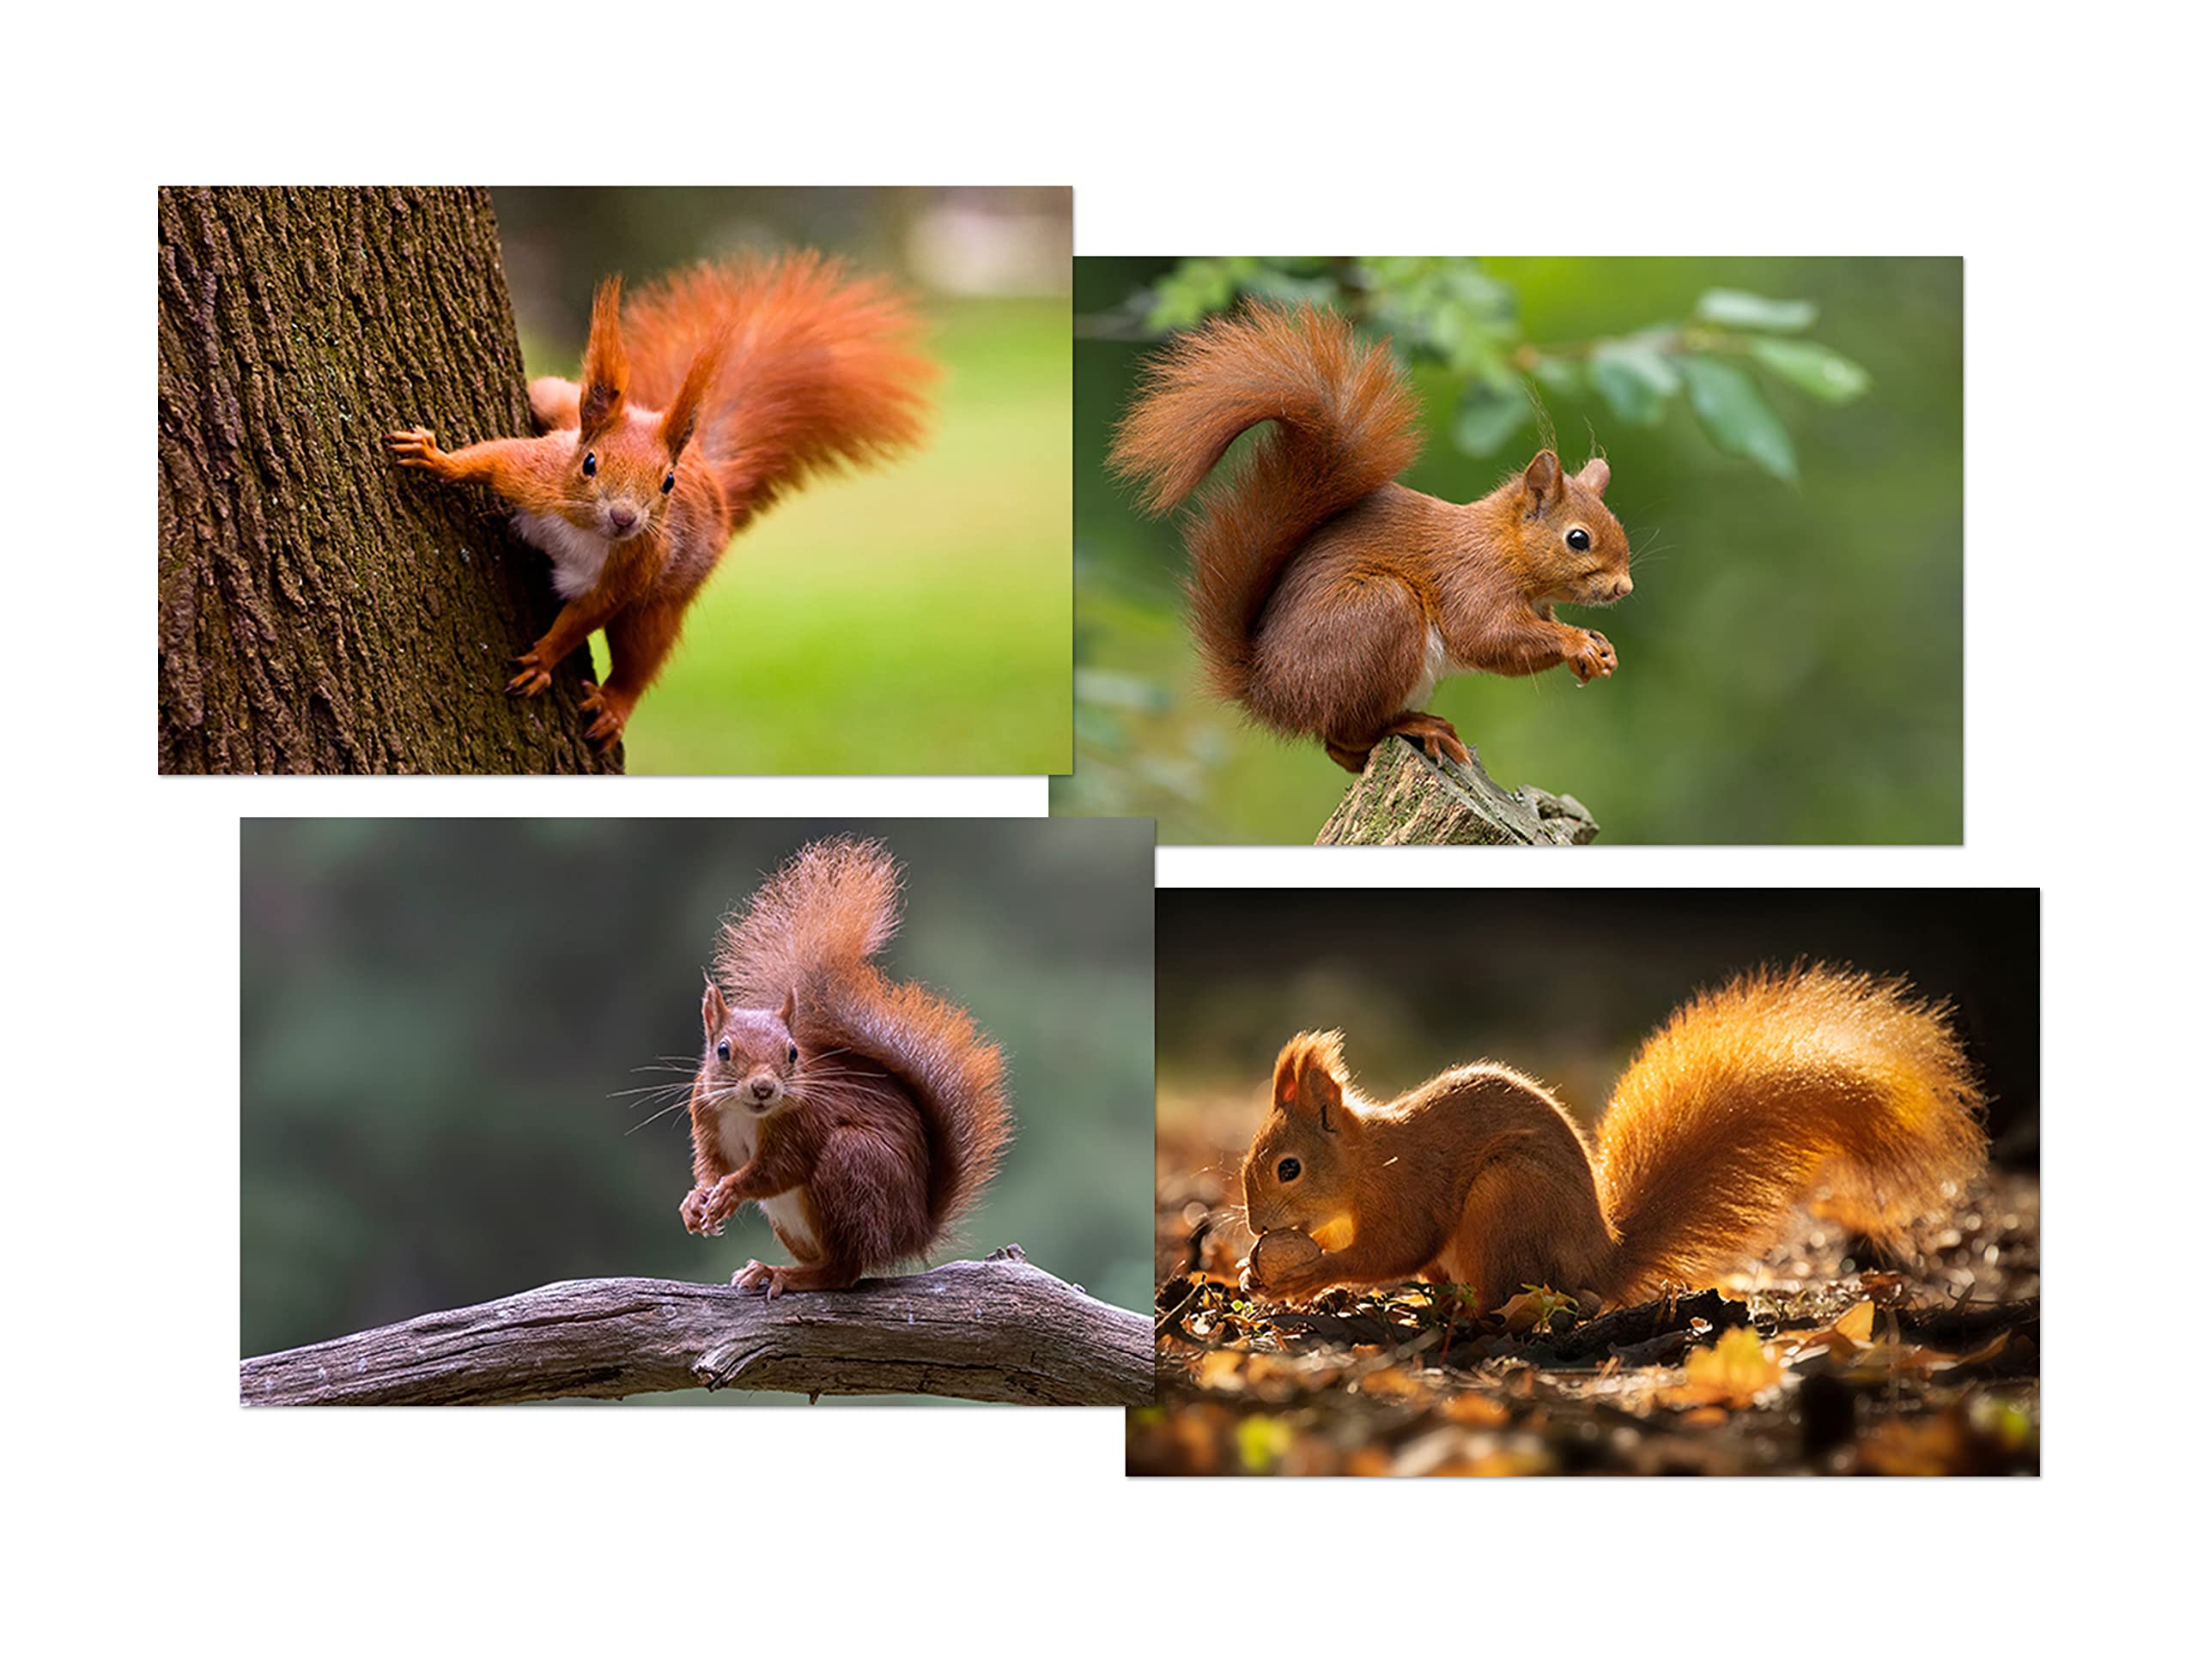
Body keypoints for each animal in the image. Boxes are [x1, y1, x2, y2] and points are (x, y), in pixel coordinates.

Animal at [388, 253, 934, 746]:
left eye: (667, 482)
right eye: (589, 463)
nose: (624, 518)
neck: (584, 528)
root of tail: (713, 480)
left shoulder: (629, 572)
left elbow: (583, 618)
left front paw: (543, 661)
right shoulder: (535, 475)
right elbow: (490, 458)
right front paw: (435, 457)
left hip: (662, 601)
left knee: (642, 654)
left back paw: (614, 706)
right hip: (558, 404)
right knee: (549, 395)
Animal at [680, 836, 1013, 1298]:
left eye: (793, 1053)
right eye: (723, 1050)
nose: (763, 1088)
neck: (750, 1115)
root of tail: (914, 1231)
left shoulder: (806, 1123)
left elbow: (778, 1168)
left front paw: (730, 1191)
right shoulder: (708, 1116)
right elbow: (712, 1162)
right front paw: (696, 1201)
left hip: (852, 1165)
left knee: (843, 1271)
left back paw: (784, 1274)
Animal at [1110, 299, 1631, 773]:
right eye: (1578, 539)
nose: (1624, 588)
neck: (1505, 546)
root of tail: (1271, 692)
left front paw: (1599, 648)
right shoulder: (1472, 580)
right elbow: (1489, 637)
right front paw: (1576, 643)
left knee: (1340, 750)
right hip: (1380, 614)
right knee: (1345, 734)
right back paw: (1415, 725)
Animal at [1240, 965, 1987, 1311]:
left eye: (1287, 1168)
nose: (1253, 1224)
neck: (1364, 1163)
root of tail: (1599, 1261)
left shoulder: (1408, 1189)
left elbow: (1393, 1248)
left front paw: (1303, 1274)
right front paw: (1255, 1268)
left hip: (1506, 1199)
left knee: (1511, 1294)